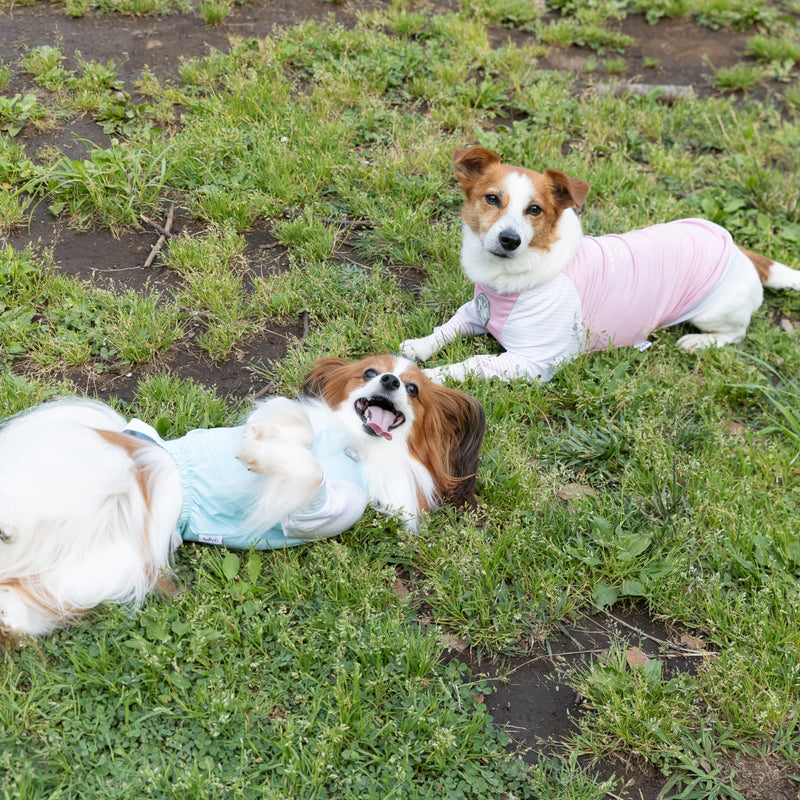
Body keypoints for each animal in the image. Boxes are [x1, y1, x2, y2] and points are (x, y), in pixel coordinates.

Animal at [0, 356, 484, 636]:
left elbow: (310, 474)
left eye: (413, 389)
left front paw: (263, 451)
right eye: (369, 373)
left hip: (99, 568)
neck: (353, 447)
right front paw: (269, 431)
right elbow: (296, 426)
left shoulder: (324, 510)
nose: (388, 381)